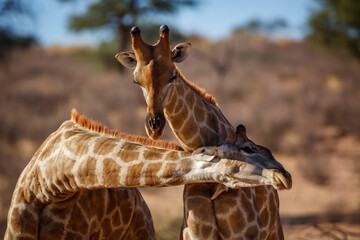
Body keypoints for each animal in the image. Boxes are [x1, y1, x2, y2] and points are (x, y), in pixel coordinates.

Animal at [116, 25, 292, 239]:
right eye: (136, 81)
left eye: (172, 76)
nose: (154, 127)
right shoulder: (196, 234)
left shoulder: (242, 235)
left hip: (275, 231)